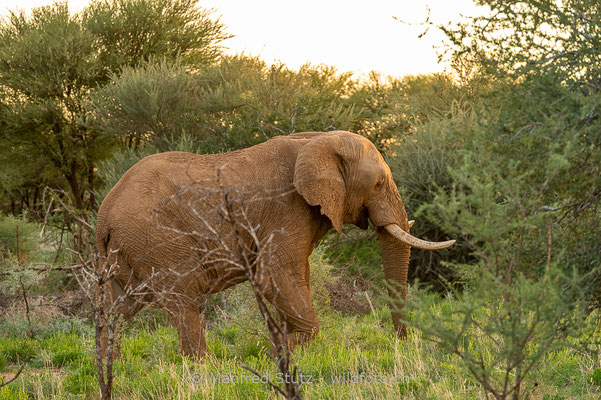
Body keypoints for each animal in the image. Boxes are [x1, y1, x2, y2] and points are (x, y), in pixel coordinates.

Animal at [96, 131, 452, 360]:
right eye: (378, 183)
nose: (402, 344)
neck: (317, 141)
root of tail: (104, 213)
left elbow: (299, 276)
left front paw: (282, 348)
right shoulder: (286, 209)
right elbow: (272, 274)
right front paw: (281, 352)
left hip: (126, 251)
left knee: (117, 308)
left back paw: (110, 367)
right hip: (159, 240)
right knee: (184, 301)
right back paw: (204, 368)